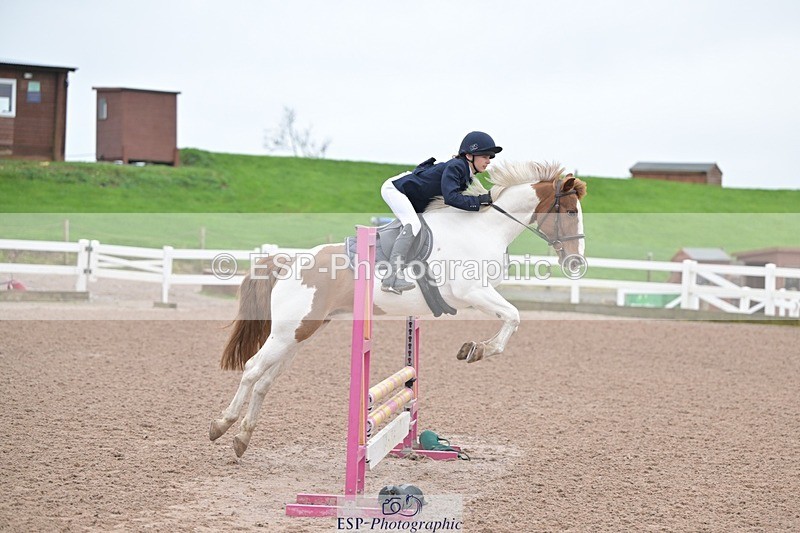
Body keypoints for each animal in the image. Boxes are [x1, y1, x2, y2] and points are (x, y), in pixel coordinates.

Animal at [210, 161, 587, 457]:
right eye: (570, 212)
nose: (577, 263)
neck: (484, 228)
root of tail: (288, 262)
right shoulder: (472, 291)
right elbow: (513, 316)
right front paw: (476, 350)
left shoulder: (477, 294)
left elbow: (511, 317)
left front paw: (472, 348)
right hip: (289, 331)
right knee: (252, 369)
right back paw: (221, 425)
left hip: (301, 333)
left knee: (265, 380)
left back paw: (242, 438)